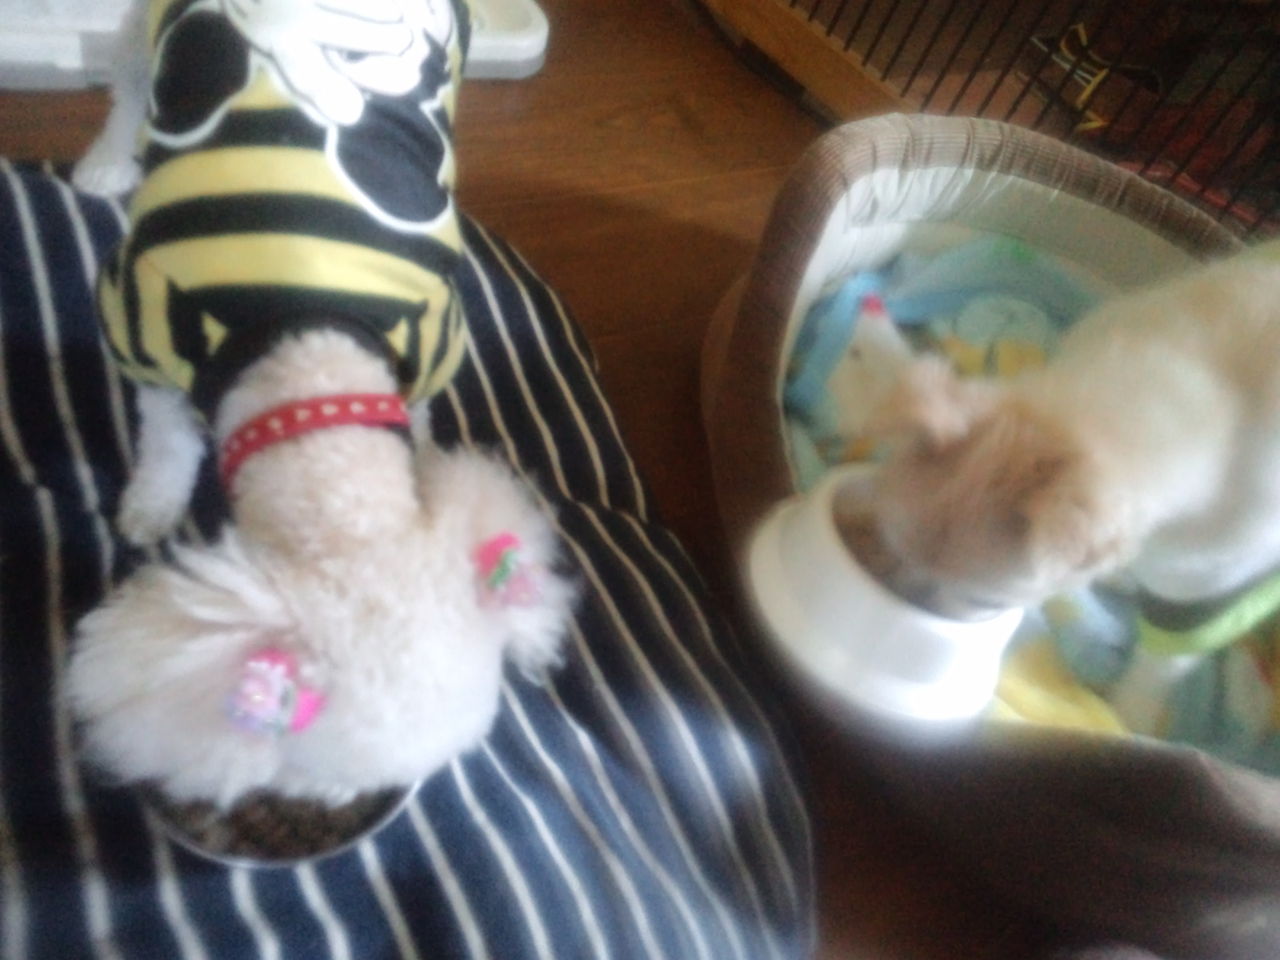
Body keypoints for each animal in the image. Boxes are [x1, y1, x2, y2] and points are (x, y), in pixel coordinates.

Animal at [65, 0, 576, 808]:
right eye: (311, 774)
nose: (334, 811)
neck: (311, 349)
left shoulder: (428, 345)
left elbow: (420, 426)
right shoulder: (139, 314)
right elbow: (168, 439)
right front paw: (153, 502)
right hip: (155, 33)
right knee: (128, 78)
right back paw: (108, 162)